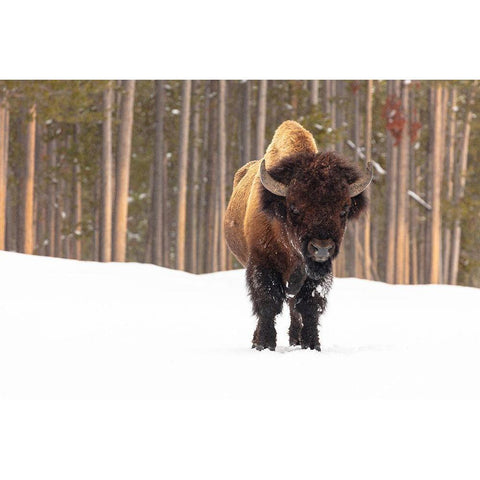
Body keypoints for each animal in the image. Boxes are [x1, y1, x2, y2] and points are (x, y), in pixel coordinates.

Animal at [223, 120, 374, 352]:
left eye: (344, 209)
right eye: (294, 208)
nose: (322, 248)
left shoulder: (315, 274)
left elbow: (309, 305)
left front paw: (312, 345)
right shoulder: (262, 262)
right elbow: (268, 303)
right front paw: (264, 344)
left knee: (294, 307)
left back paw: (295, 340)